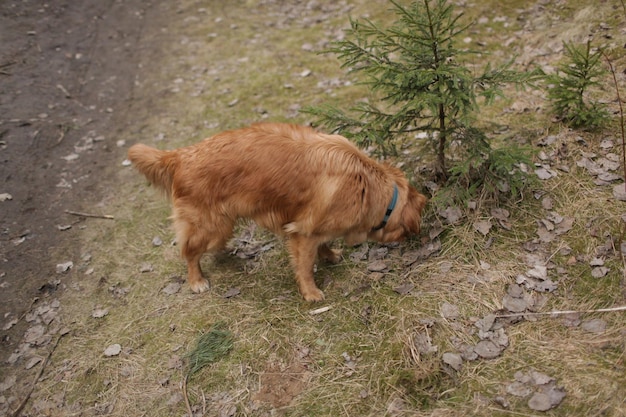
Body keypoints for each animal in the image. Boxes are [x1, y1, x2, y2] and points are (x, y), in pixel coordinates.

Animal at [129, 122, 426, 300]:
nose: (416, 239)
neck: (367, 184)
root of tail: (181, 155)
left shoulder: (314, 226)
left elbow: (322, 244)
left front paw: (330, 255)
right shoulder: (303, 232)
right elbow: (305, 265)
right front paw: (311, 293)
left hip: (223, 225)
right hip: (210, 225)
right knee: (189, 251)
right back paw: (196, 280)